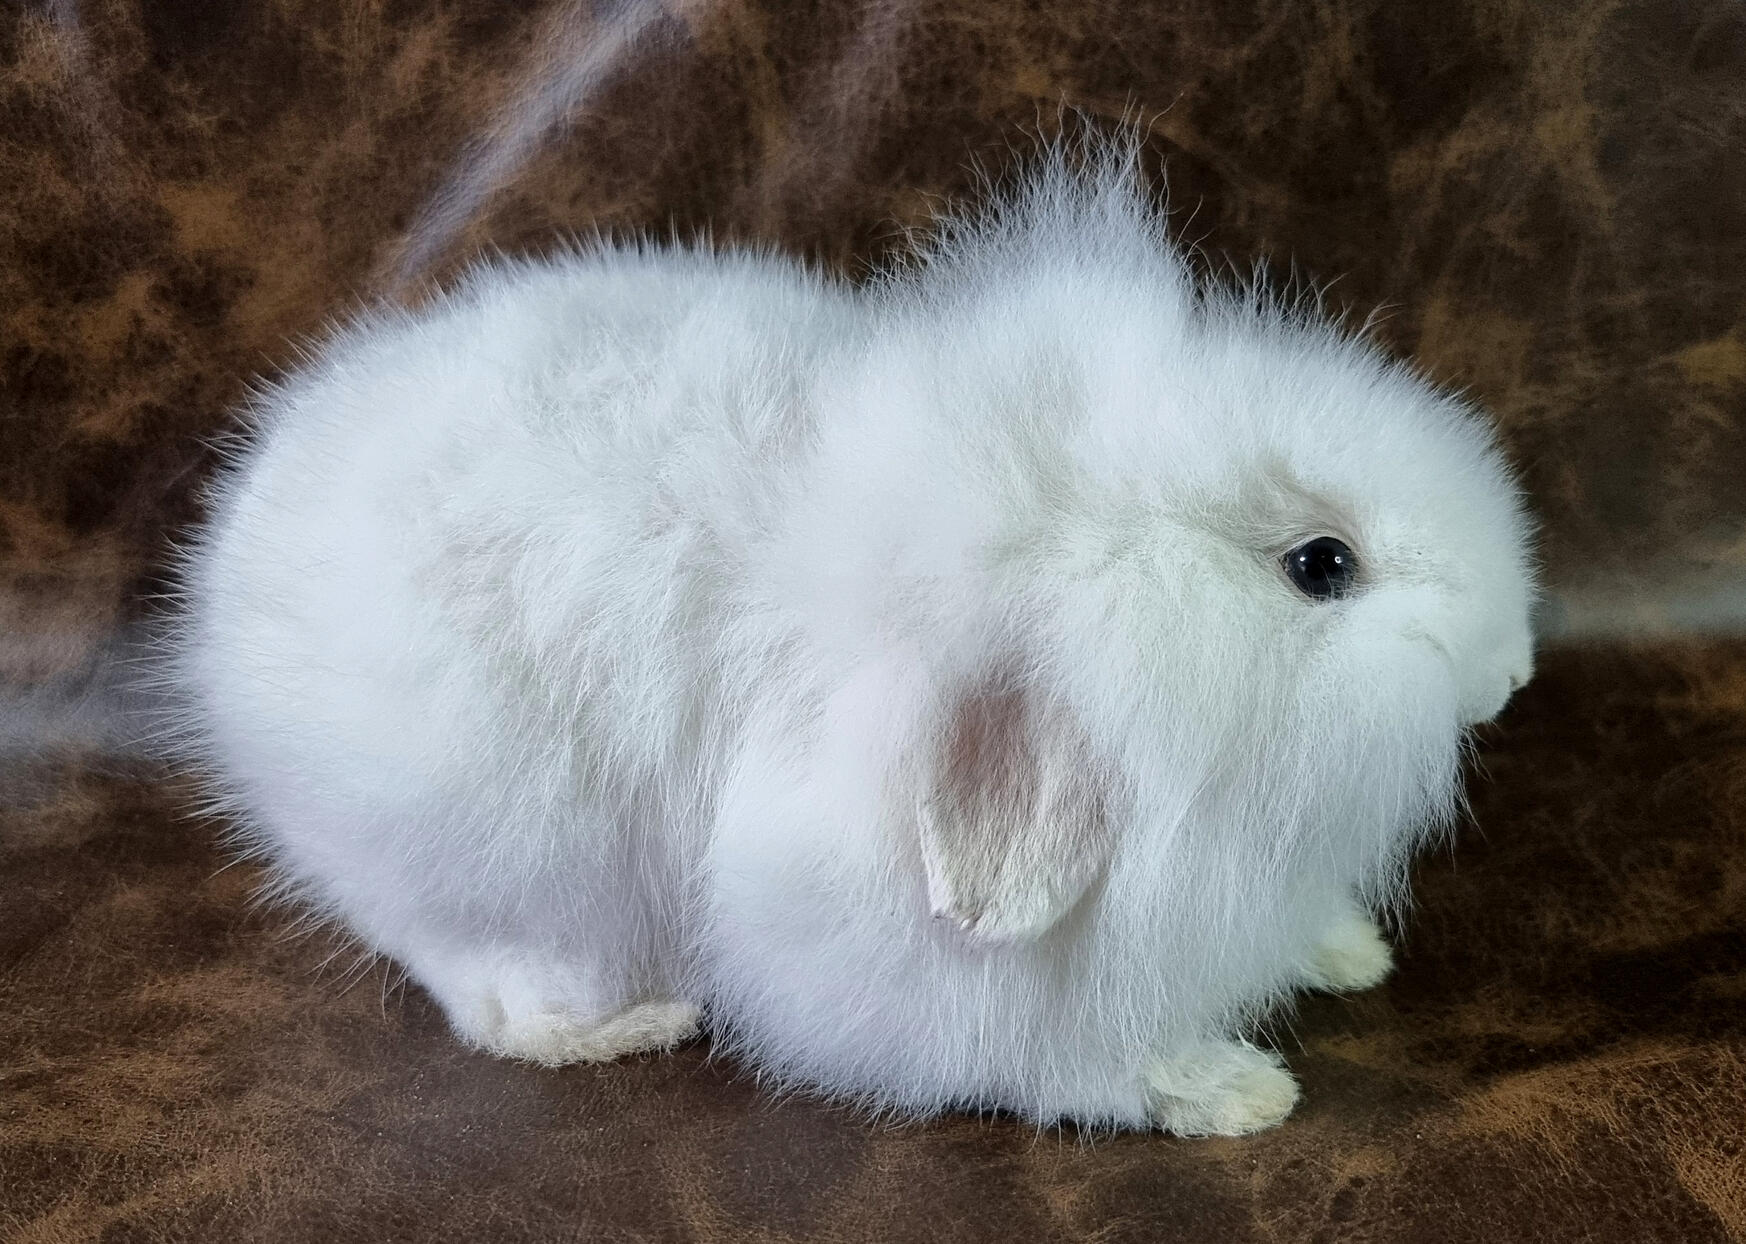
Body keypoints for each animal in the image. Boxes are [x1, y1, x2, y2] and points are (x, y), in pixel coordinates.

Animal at [167, 138, 1537, 1136]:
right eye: (1322, 565)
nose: (1515, 669)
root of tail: (226, 586)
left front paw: (1349, 951)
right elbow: (1063, 1063)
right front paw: (1239, 1092)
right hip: (500, 867)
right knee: (490, 997)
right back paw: (637, 1021)